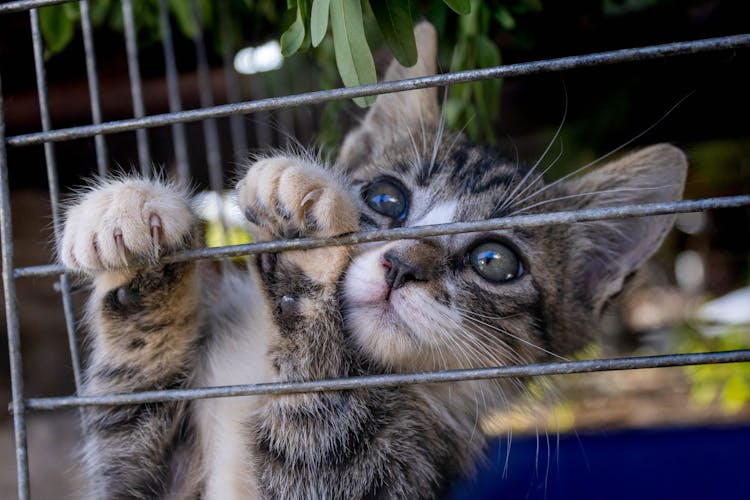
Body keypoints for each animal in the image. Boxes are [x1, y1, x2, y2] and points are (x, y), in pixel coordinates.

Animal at [61, 22, 692, 500]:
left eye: (495, 261)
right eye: (387, 199)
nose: (402, 266)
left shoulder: (398, 472)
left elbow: (320, 450)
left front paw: (305, 261)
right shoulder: (145, 479)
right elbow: (130, 435)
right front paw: (130, 228)